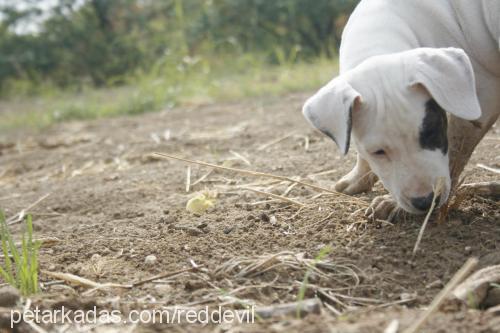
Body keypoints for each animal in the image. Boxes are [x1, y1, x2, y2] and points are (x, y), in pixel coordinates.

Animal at [302, 0, 500, 217]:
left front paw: (394, 204)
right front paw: (357, 178)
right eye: (378, 152)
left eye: (432, 133)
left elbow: (457, 149)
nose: (426, 201)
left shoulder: (482, 97)